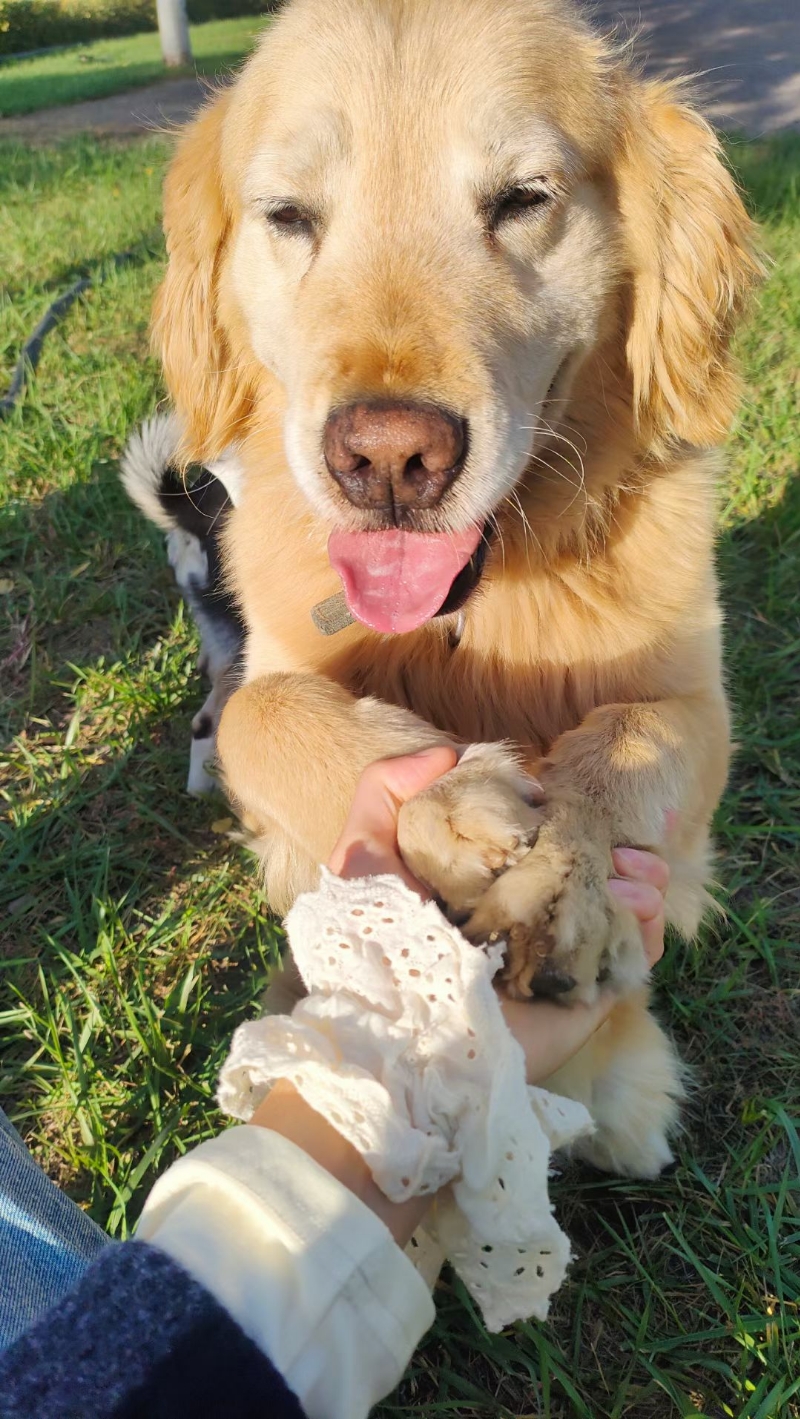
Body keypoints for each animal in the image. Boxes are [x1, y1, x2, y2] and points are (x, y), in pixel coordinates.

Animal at [148, 0, 754, 1174]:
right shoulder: (269, 671)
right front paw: (452, 804)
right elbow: (268, 718)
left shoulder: (696, 697)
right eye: (288, 215)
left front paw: (563, 884)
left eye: (522, 199)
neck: (476, 608)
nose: (386, 460)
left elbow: (625, 740)